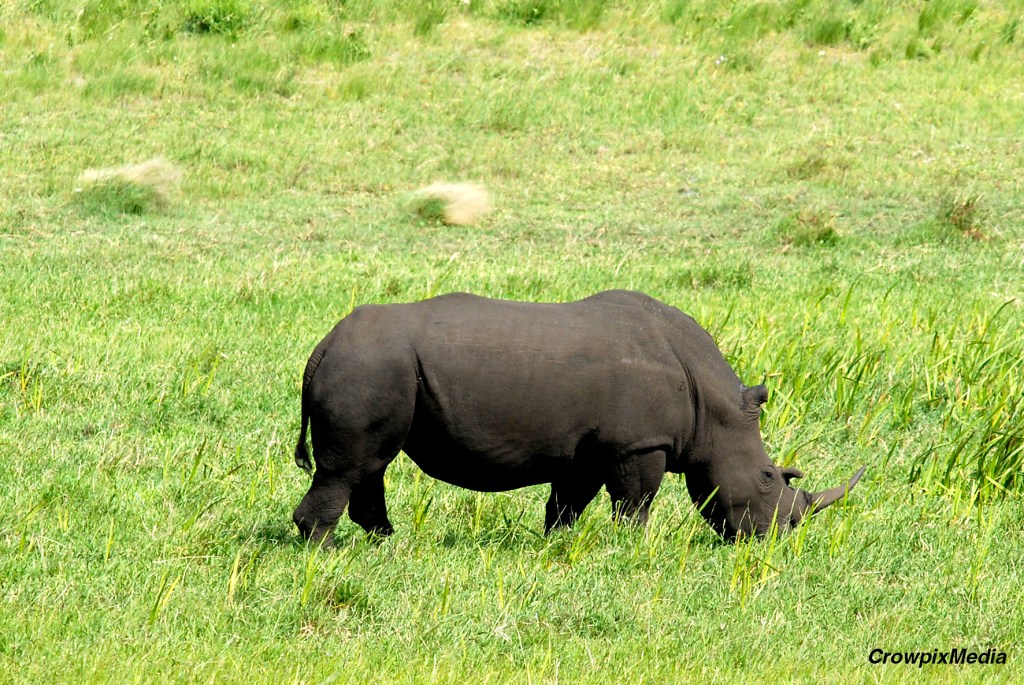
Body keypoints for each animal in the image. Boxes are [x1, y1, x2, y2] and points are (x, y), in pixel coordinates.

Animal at [292, 290, 864, 545]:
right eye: (768, 477)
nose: (782, 538)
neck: (713, 406)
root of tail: (322, 346)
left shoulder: (590, 447)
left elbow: (567, 503)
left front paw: (557, 547)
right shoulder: (641, 442)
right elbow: (635, 502)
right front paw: (634, 549)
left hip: (373, 367)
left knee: (372, 464)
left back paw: (385, 544)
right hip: (368, 367)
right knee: (350, 465)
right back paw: (330, 552)